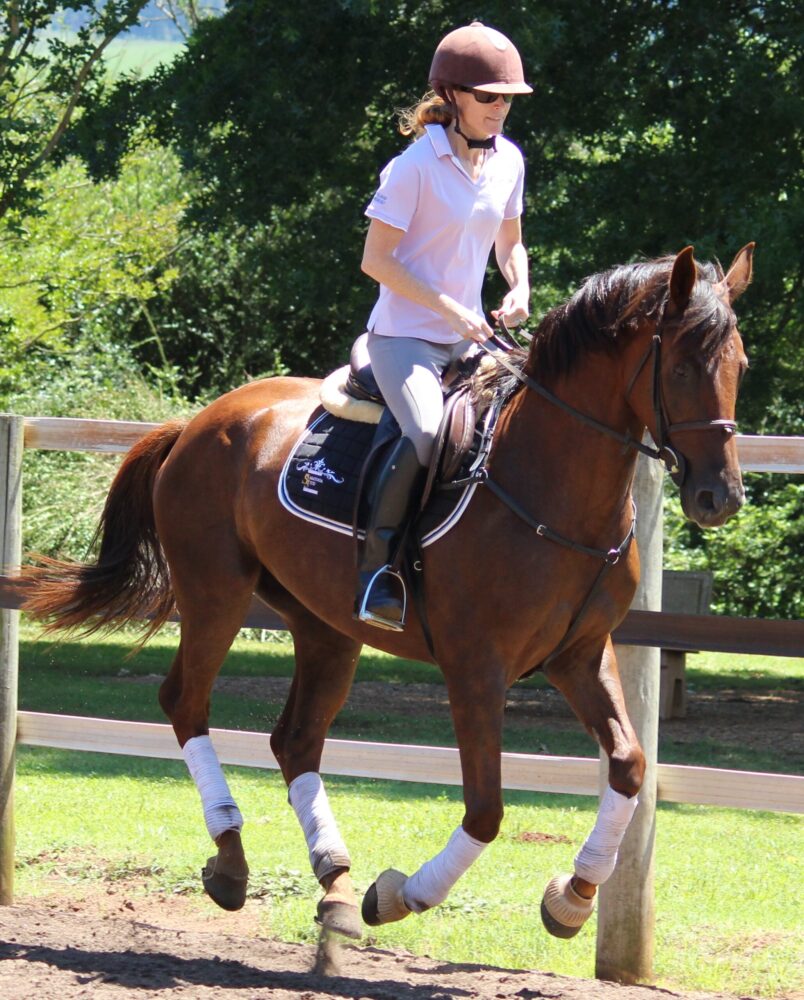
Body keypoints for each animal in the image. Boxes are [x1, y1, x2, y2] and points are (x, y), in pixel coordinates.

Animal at [25, 244, 752, 944]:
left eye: (738, 365)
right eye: (682, 367)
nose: (719, 497)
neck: (552, 488)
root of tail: (200, 420)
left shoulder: (579, 653)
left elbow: (628, 765)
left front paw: (570, 900)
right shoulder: (476, 667)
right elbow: (486, 809)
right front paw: (404, 894)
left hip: (324, 625)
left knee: (295, 741)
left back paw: (337, 886)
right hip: (215, 593)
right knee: (187, 702)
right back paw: (233, 861)